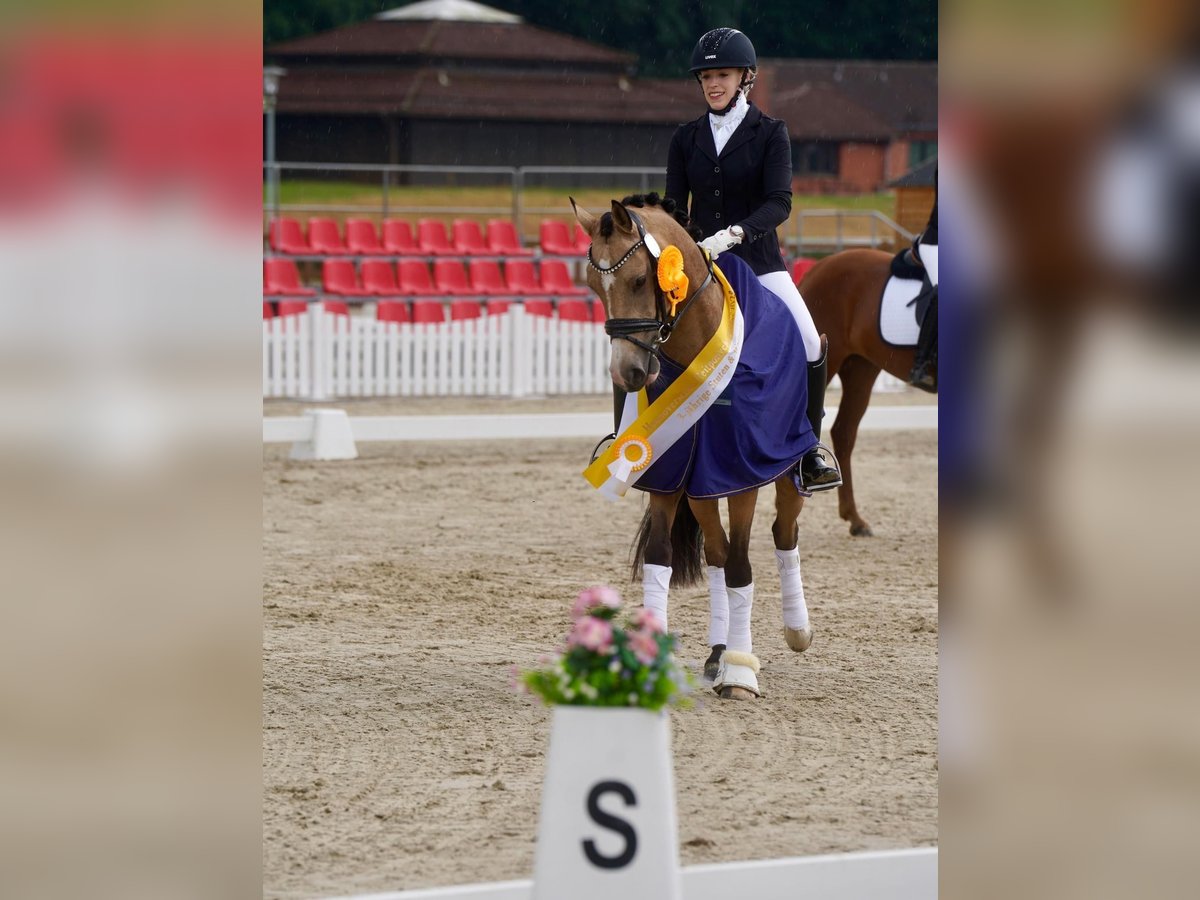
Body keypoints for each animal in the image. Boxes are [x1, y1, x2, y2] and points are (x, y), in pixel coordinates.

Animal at [573, 195, 820, 705]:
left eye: (640, 280)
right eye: (591, 285)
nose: (627, 373)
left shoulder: (742, 471)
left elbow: (744, 566)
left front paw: (741, 676)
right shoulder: (669, 470)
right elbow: (663, 557)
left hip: (784, 465)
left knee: (783, 533)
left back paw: (795, 631)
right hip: (701, 486)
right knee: (717, 554)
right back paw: (718, 651)